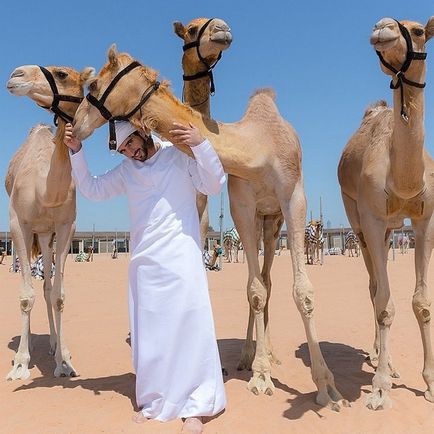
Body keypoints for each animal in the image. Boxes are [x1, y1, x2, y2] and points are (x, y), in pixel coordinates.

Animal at [4, 62, 94, 378]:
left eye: (62, 74)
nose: (15, 75)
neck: (45, 189)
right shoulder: (18, 223)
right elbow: (24, 296)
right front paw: (20, 364)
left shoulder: (67, 226)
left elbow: (58, 295)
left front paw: (64, 362)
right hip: (34, 231)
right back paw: (27, 344)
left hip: (46, 234)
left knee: (47, 286)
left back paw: (56, 344)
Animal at [73, 46, 348, 410]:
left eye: (93, 87)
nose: (75, 122)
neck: (258, 150)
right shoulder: (241, 206)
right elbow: (255, 290)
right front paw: (261, 375)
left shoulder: (295, 199)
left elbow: (302, 291)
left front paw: (327, 387)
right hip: (260, 220)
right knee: (262, 283)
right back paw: (251, 356)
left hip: (274, 222)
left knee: (271, 277)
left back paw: (273, 355)